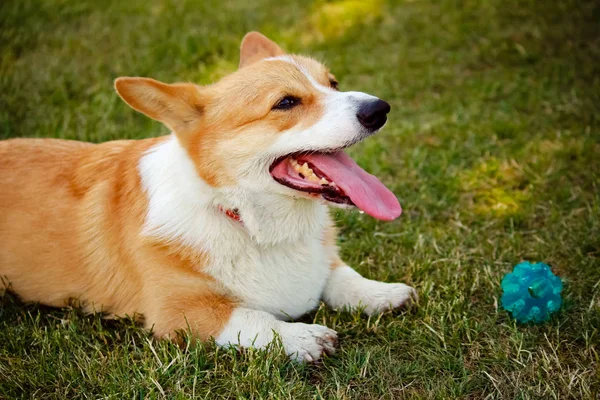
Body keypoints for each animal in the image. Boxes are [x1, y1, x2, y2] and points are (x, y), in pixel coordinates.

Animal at [0, 32, 414, 362]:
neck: (246, 220)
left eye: (333, 82)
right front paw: (302, 337)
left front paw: (381, 293)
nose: (380, 109)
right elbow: (252, 317)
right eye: (285, 103)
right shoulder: (177, 312)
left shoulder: (322, 265)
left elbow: (338, 274)